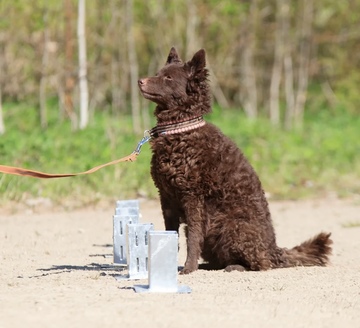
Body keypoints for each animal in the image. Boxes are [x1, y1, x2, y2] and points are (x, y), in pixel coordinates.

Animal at [137, 47, 332, 274]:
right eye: (158, 73)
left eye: (168, 78)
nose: (140, 81)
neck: (180, 131)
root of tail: (274, 250)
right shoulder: (166, 197)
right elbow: (171, 235)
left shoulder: (192, 197)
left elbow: (192, 237)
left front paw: (188, 268)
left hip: (230, 226)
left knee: (259, 264)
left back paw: (234, 266)